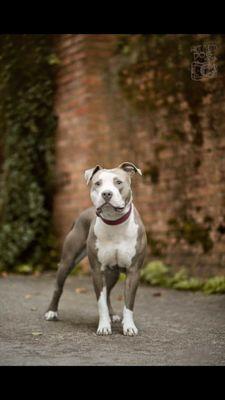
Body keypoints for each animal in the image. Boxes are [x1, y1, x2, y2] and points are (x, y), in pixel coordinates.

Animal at [45, 162, 148, 334]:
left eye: (118, 182)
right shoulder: (97, 270)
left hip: (113, 272)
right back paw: (51, 312)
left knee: (108, 294)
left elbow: (129, 302)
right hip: (68, 261)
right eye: (97, 183)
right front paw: (104, 326)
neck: (115, 224)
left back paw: (114, 316)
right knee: (58, 287)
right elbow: (101, 302)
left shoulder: (134, 270)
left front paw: (129, 327)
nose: (106, 193)